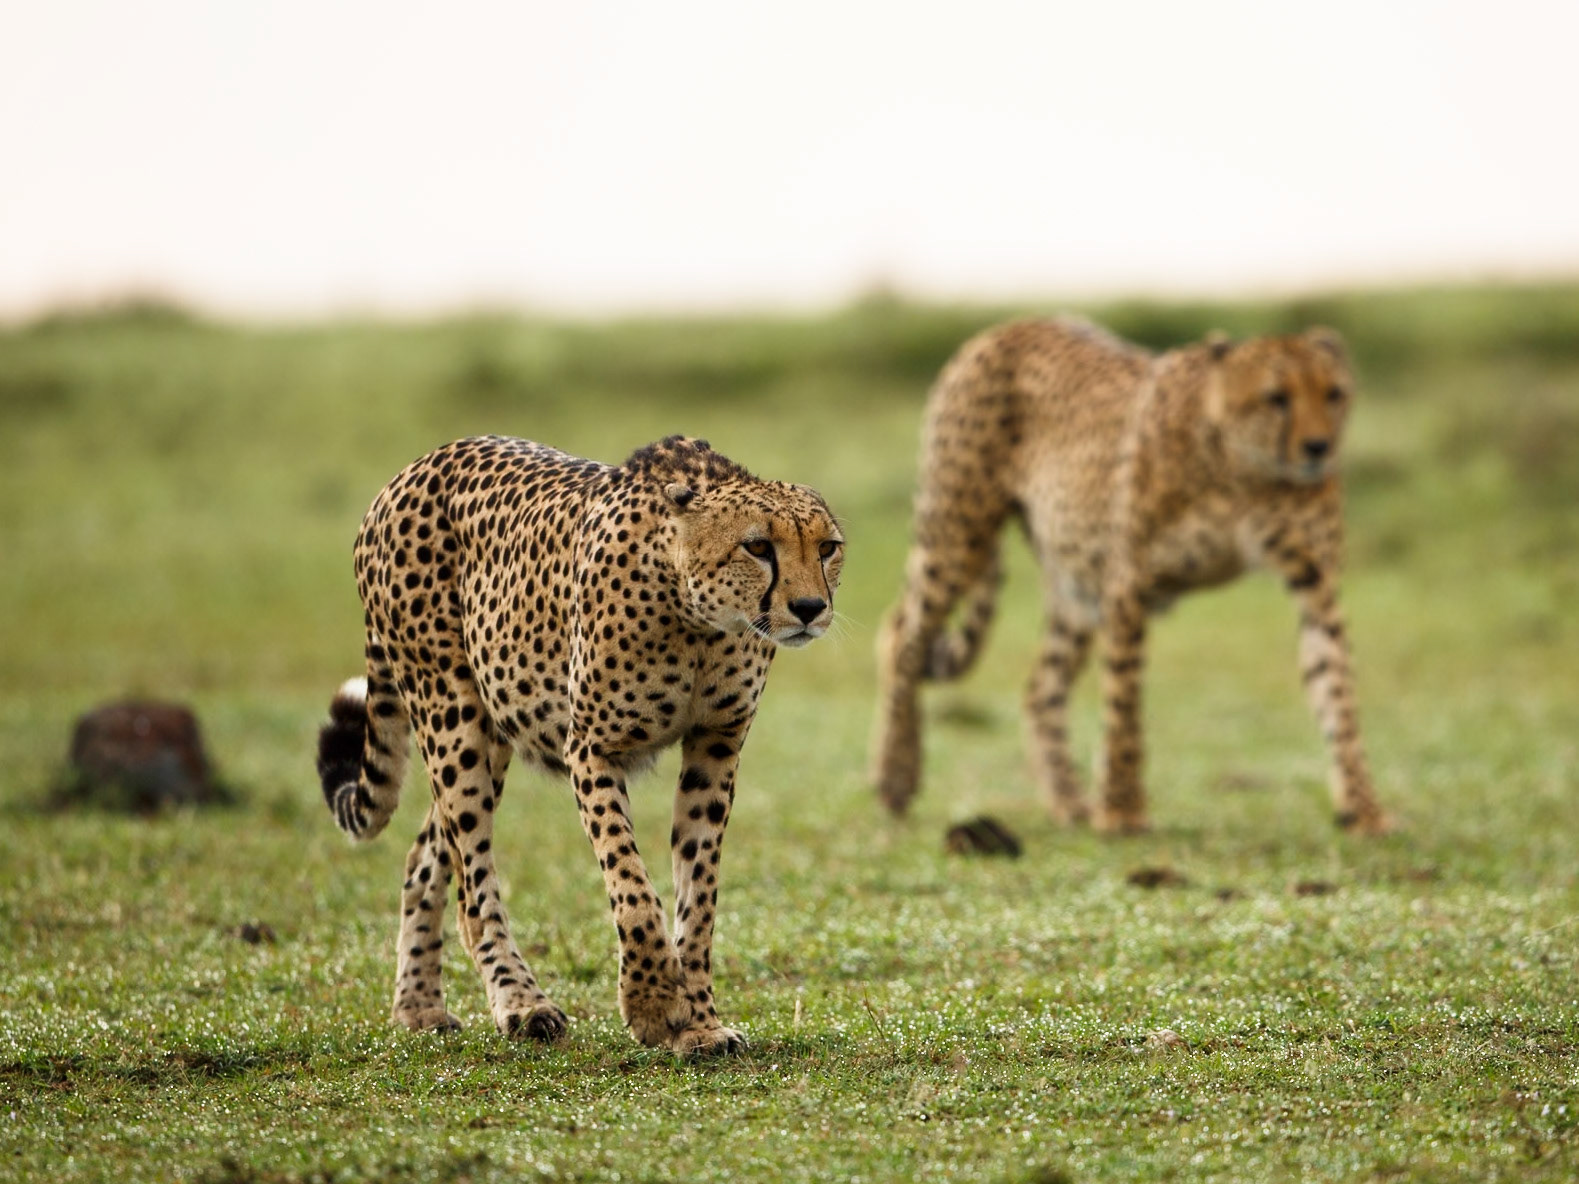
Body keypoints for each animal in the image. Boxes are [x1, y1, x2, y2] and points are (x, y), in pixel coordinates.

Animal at [315, 433, 843, 1055]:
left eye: (828, 547)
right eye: (758, 546)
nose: (810, 609)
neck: (699, 621)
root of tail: (413, 469)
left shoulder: (716, 745)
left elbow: (698, 892)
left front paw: (700, 1024)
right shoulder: (590, 747)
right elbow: (632, 883)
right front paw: (652, 1002)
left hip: (493, 727)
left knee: (426, 855)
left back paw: (418, 1007)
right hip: (450, 710)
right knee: (472, 883)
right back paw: (521, 1004)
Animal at [870, 317, 1391, 835]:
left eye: (1335, 394)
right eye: (1276, 397)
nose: (1319, 447)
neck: (1245, 469)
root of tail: (1014, 325)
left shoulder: (1314, 584)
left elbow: (1336, 690)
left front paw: (1363, 809)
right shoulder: (1129, 582)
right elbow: (1124, 702)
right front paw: (1121, 810)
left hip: (1075, 582)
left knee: (1041, 688)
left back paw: (1069, 803)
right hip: (957, 534)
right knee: (901, 636)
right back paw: (896, 775)